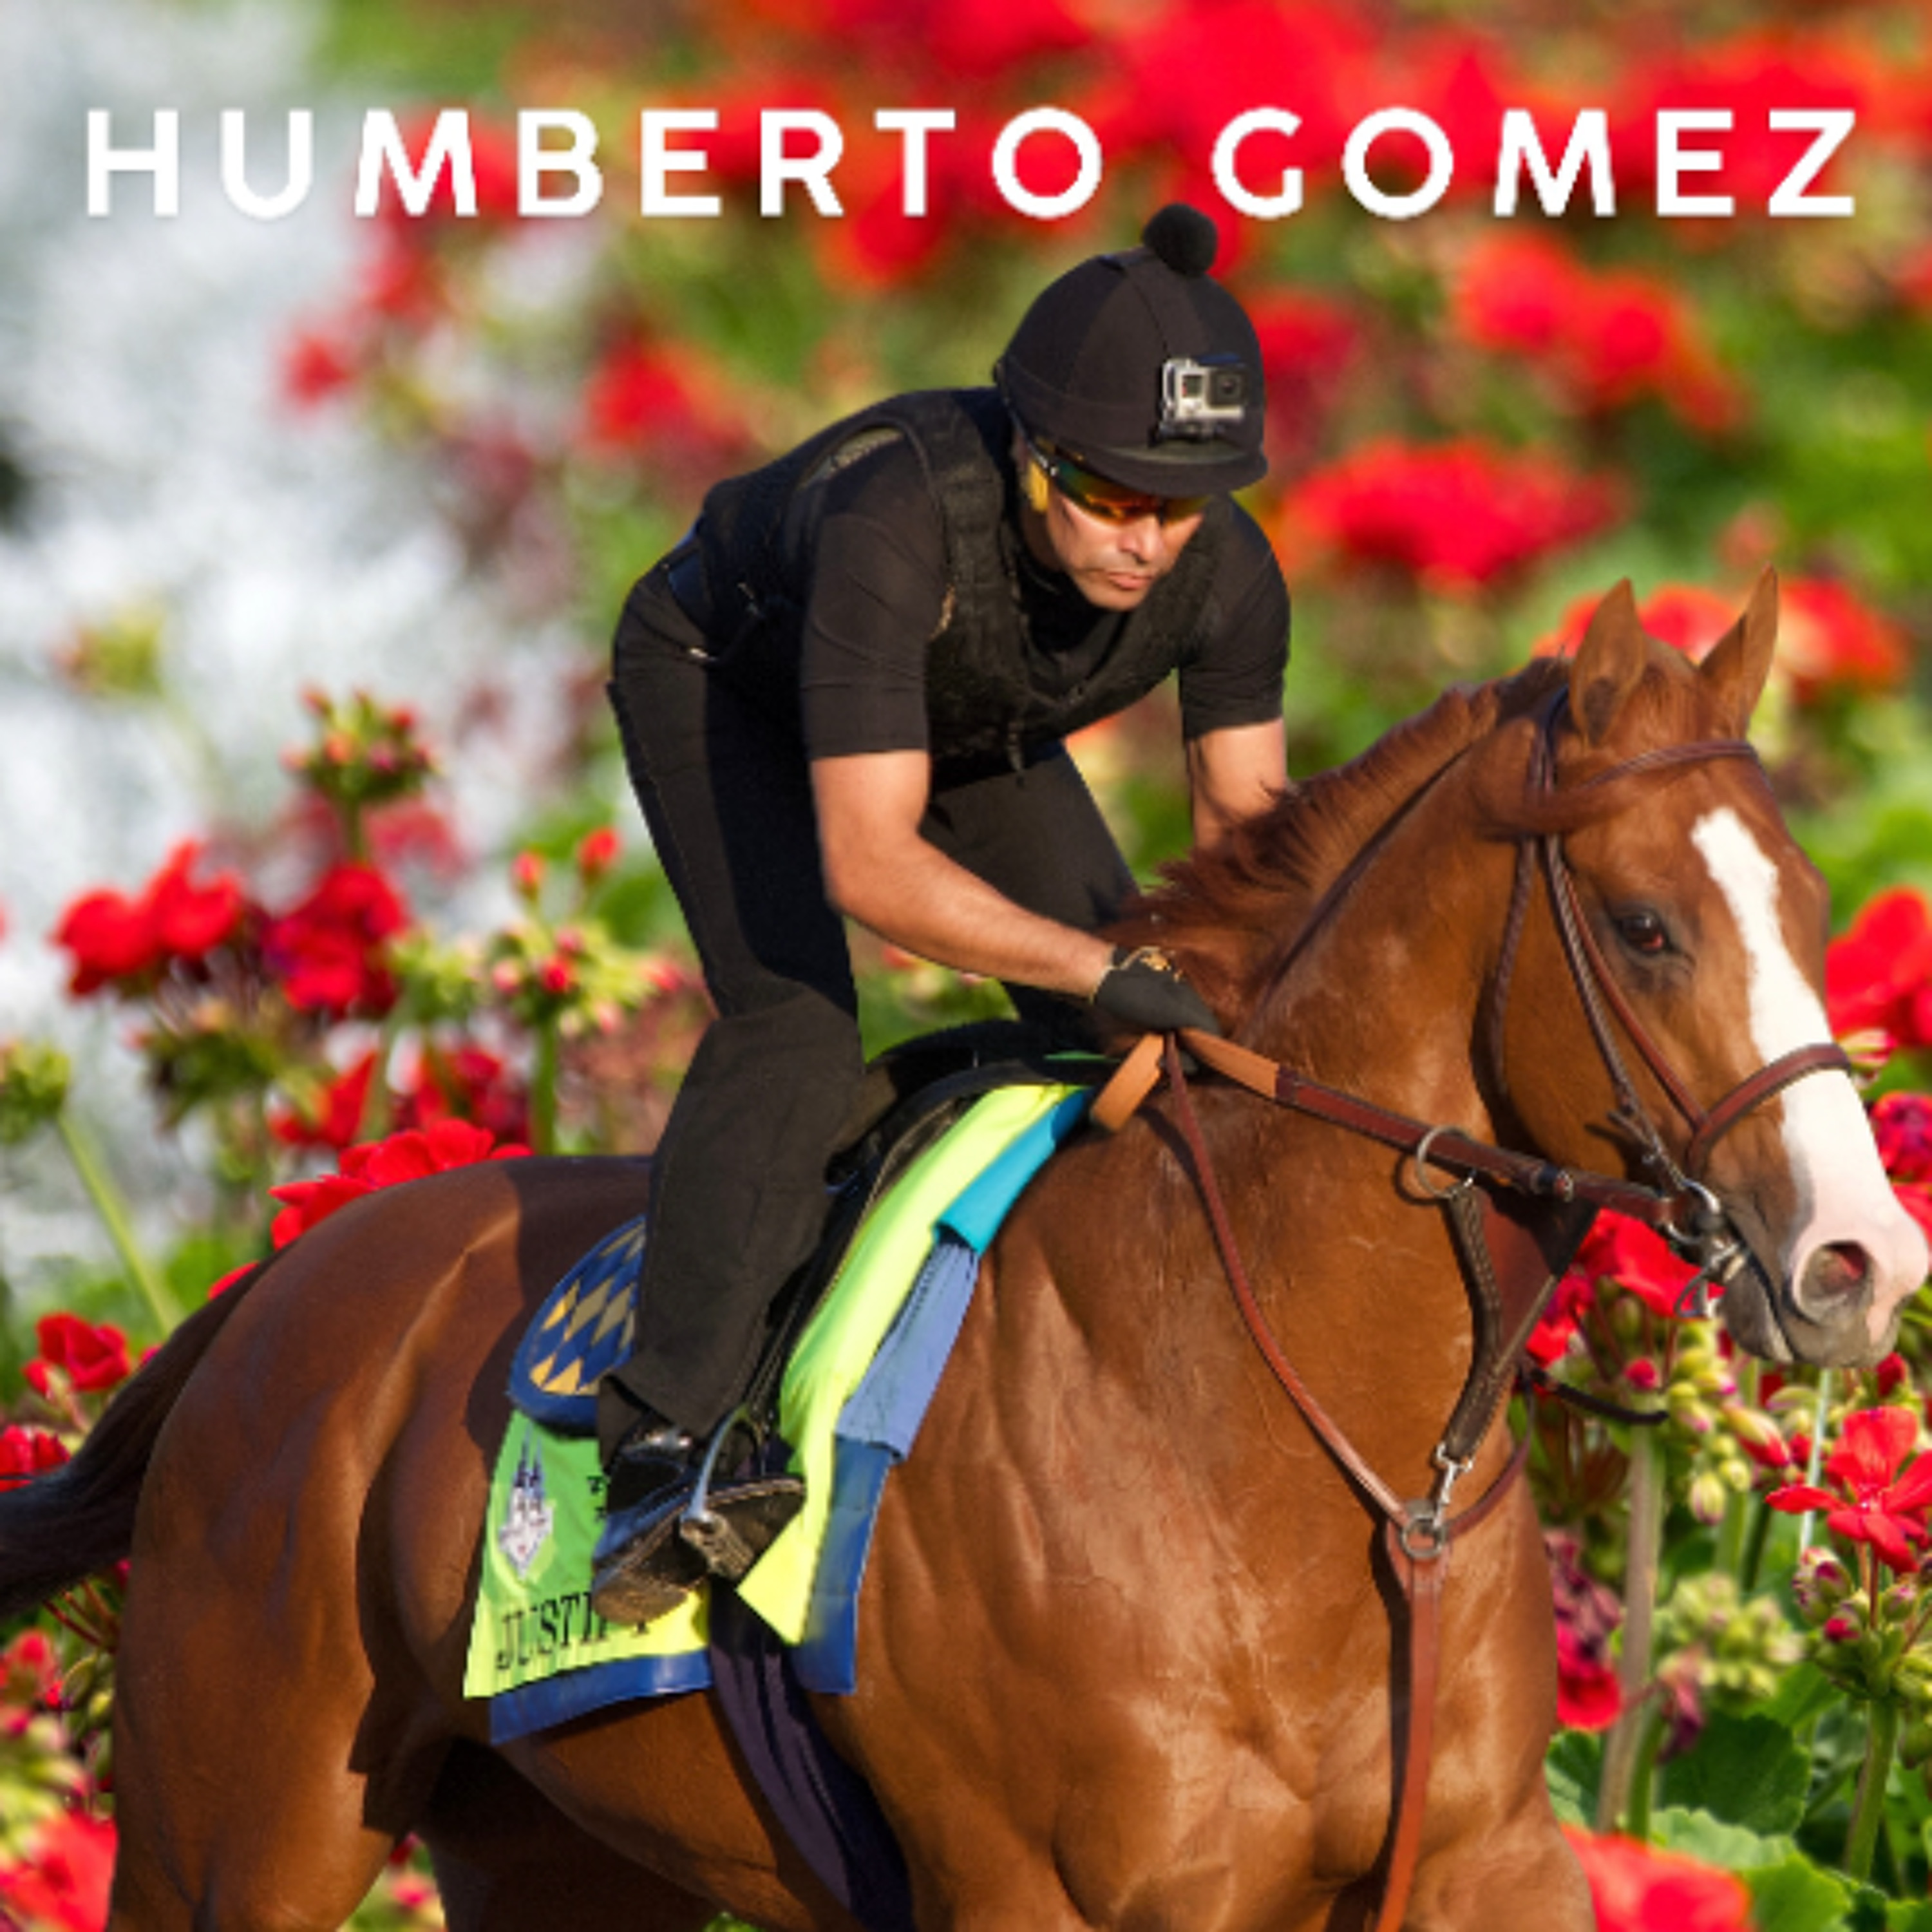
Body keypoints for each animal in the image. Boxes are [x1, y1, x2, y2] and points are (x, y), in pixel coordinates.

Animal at [2, 573, 1923, 1932]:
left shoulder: (1477, 1867)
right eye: (1647, 926)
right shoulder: (1050, 1897)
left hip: (558, 1852)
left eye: (1820, 904)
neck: (1273, 1434)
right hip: (235, 1836)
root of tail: (273, 1284)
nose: (1863, 1261)